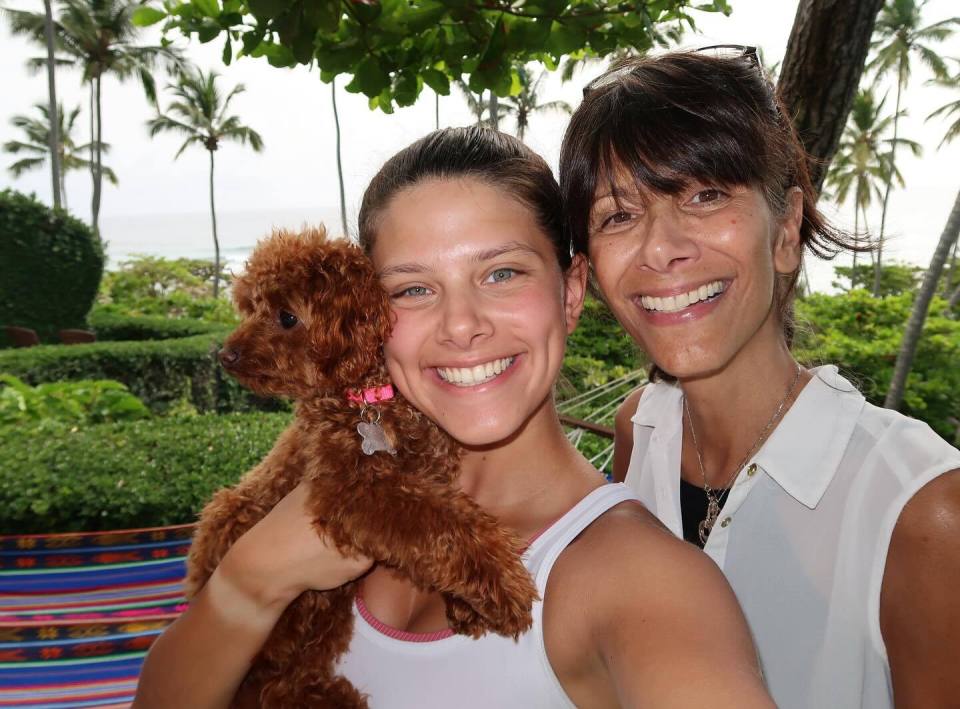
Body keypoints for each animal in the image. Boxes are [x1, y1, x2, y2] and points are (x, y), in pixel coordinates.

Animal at [184, 228, 536, 708]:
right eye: (251, 307)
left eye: (286, 317)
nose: (226, 355)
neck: (370, 399)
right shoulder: (351, 489)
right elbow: (440, 525)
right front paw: (504, 583)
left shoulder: (428, 475)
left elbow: (446, 526)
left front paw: (466, 600)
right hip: (232, 517)